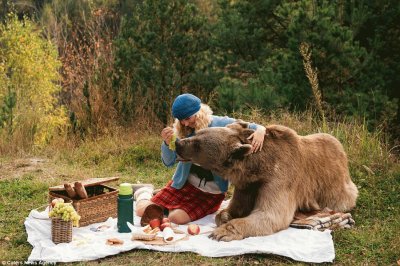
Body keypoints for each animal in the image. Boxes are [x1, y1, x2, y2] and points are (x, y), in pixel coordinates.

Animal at [177, 121, 358, 242]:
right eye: (197, 134)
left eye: (198, 144)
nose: (178, 143)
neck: (258, 168)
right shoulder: (246, 185)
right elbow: (236, 206)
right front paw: (225, 216)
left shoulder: (280, 178)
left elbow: (271, 214)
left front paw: (222, 232)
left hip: (337, 186)